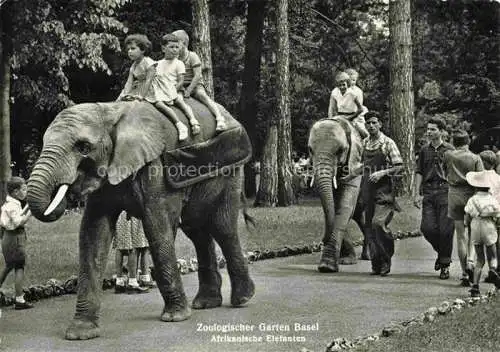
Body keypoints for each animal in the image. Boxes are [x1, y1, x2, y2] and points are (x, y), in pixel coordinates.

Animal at [25, 98, 256, 338]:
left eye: (83, 148)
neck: (110, 111)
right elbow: (92, 234)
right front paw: (80, 333)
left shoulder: (155, 168)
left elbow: (157, 228)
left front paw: (174, 318)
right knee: (197, 230)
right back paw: (206, 303)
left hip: (230, 173)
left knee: (222, 227)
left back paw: (241, 299)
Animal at [306, 117, 370, 272]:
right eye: (310, 150)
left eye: (340, 150)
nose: (322, 240)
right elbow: (334, 209)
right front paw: (345, 261)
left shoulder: (355, 164)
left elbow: (344, 206)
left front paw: (327, 267)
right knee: (360, 216)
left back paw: (368, 256)